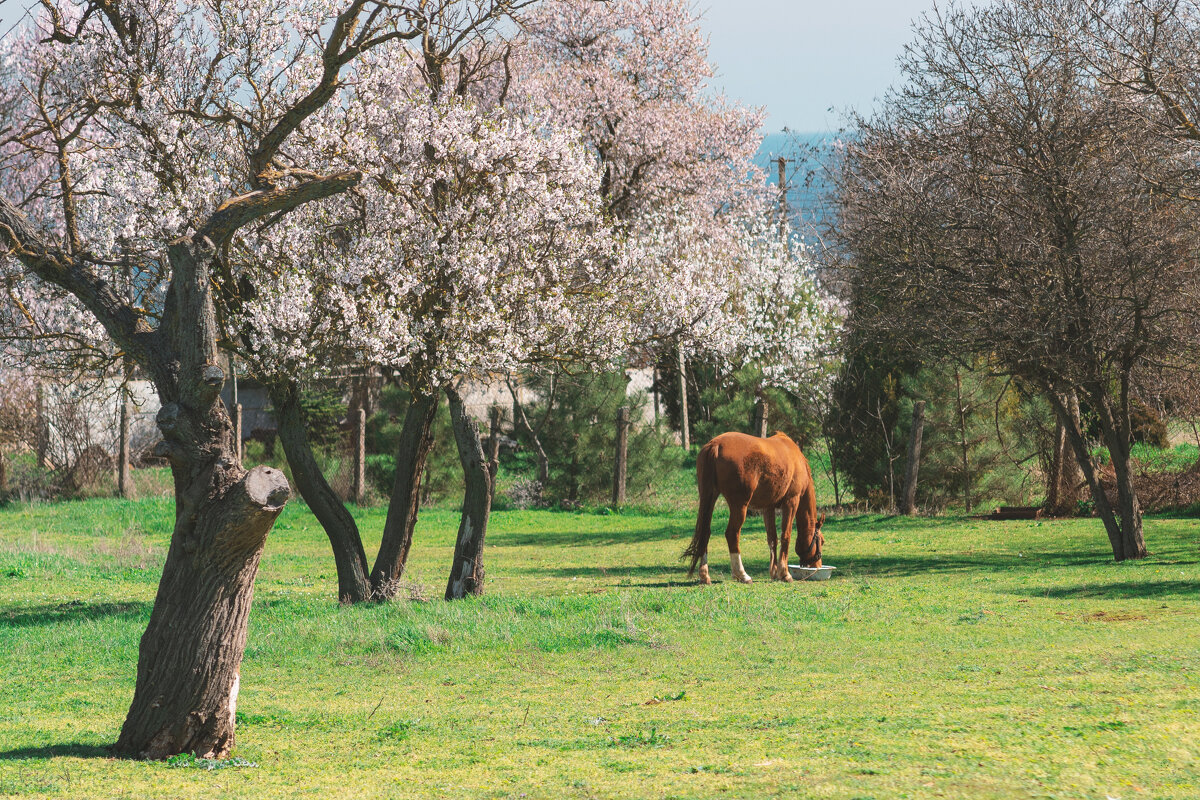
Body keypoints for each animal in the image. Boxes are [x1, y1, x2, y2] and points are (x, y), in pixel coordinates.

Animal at [686, 434, 825, 585]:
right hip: (739, 506)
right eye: (822, 541)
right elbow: (785, 536)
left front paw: (774, 572)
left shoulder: (768, 507)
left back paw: (705, 575)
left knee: (705, 532)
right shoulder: (791, 502)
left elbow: (772, 539)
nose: (817, 566)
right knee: (732, 534)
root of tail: (716, 444)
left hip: (709, 498)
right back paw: (742, 575)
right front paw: (784, 573)